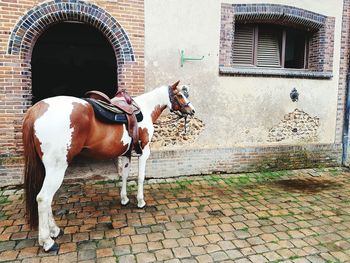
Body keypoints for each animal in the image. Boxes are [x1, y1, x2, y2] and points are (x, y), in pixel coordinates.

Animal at [22, 81, 196, 254]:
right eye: (180, 95)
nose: (192, 111)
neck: (145, 108)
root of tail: (36, 110)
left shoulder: (126, 154)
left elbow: (125, 175)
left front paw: (124, 199)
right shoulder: (144, 152)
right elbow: (140, 178)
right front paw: (140, 201)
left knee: (46, 199)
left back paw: (54, 230)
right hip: (56, 169)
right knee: (43, 198)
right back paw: (47, 241)